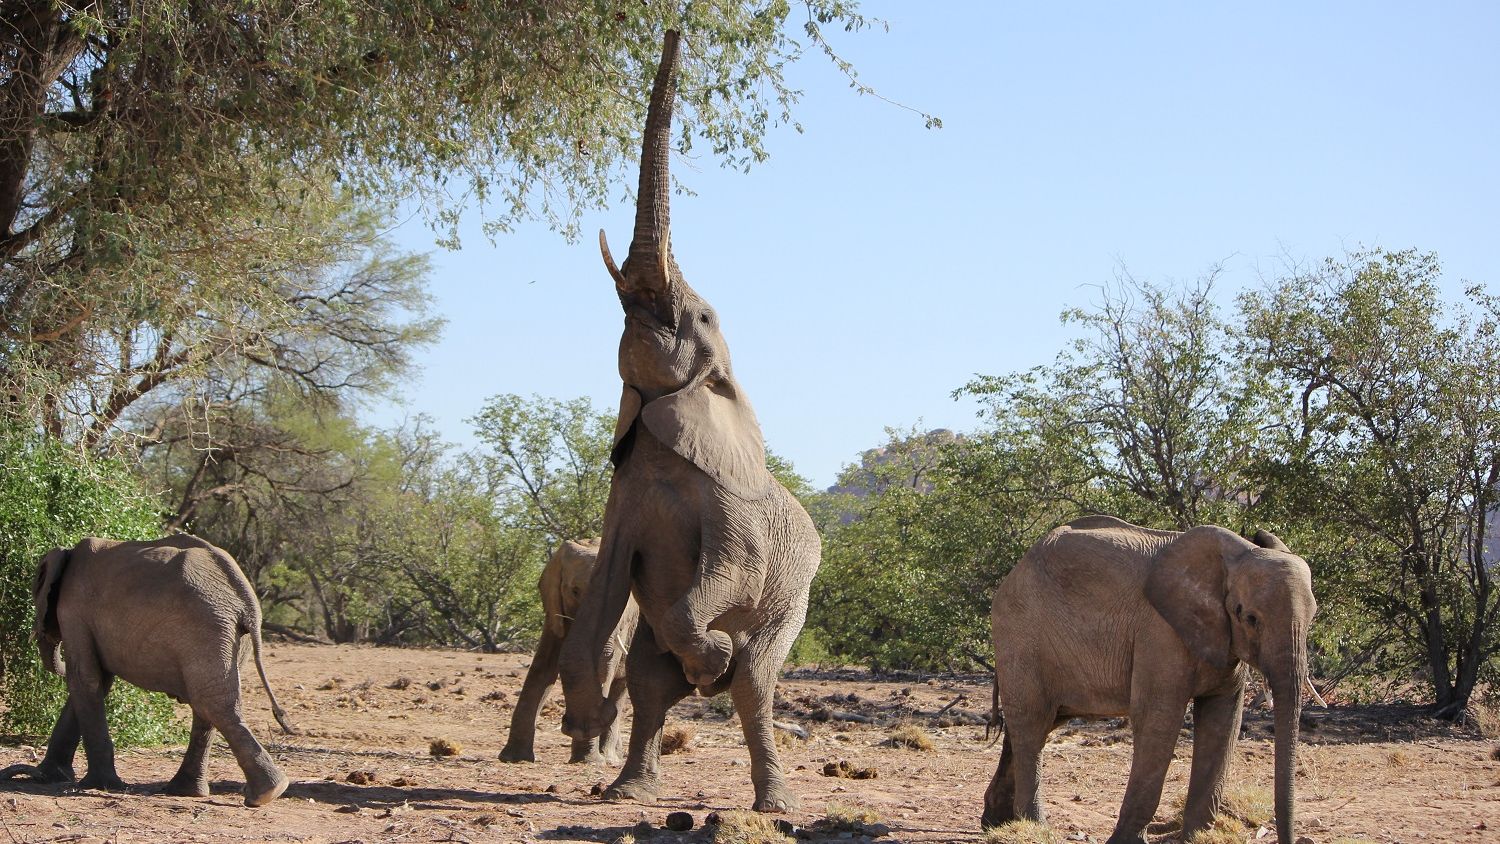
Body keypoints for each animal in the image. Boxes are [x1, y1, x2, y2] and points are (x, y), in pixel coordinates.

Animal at [0, 539, 295, 809]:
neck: (67, 553)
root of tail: (247, 601)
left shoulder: (73, 610)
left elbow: (85, 678)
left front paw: (98, 785)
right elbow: (99, 682)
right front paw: (54, 776)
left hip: (205, 629)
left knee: (211, 704)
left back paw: (264, 794)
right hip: (227, 635)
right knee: (210, 705)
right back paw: (197, 792)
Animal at [492, 542, 633, 767]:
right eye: (575, 591)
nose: (568, 723)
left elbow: (604, 670)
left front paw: (588, 761)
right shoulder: (553, 612)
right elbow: (541, 667)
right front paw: (513, 759)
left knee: (620, 688)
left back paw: (610, 757)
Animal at [561, 29, 828, 815]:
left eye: (702, 318)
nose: (677, 27)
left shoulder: (732, 509)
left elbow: (728, 575)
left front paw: (712, 655)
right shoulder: (622, 498)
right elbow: (603, 600)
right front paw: (582, 721)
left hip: (794, 600)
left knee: (757, 682)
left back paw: (772, 798)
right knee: (653, 679)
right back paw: (627, 788)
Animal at [984, 515, 1326, 844]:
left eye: (1313, 617)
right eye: (1249, 617)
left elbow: (1223, 720)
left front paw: (1198, 838)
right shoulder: (1160, 633)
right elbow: (1158, 717)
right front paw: (1126, 841)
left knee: (1035, 724)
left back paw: (996, 823)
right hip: (1021, 636)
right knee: (1032, 724)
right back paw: (1035, 828)